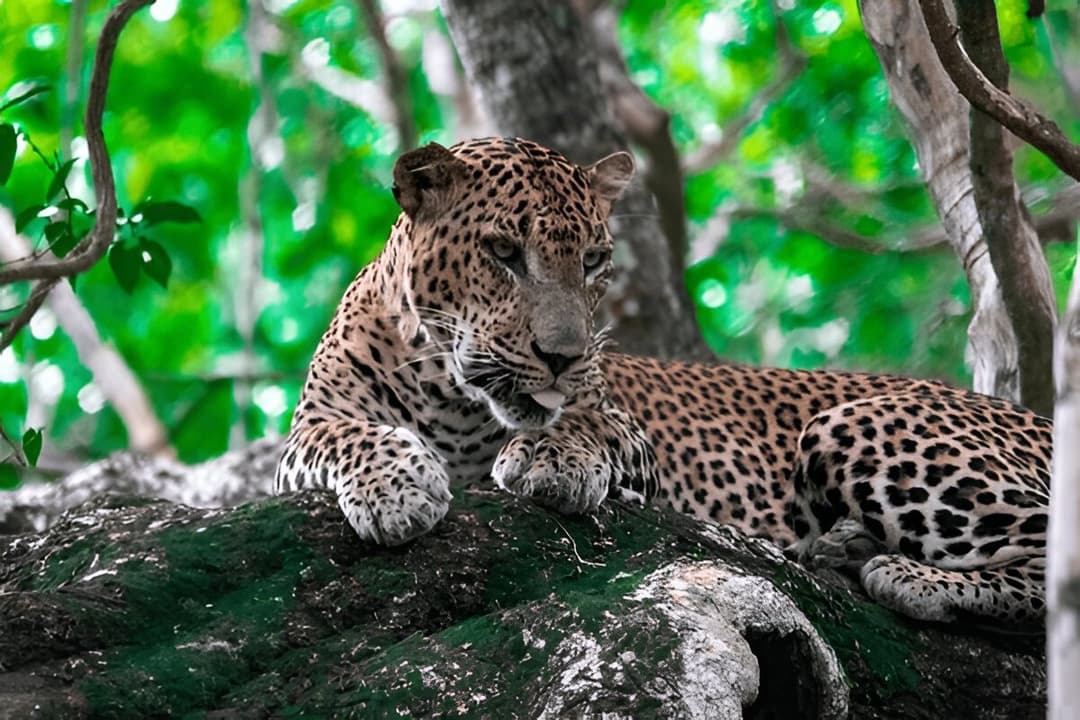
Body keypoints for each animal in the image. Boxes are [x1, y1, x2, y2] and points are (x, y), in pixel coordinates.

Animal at [275, 136, 1051, 625]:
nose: (562, 356)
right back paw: (849, 547)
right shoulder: (303, 437)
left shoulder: (629, 434)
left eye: (593, 261)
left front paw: (551, 457)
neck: (456, 398)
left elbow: (583, 421)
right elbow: (353, 435)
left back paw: (910, 576)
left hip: (857, 423)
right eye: (502, 252)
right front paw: (398, 490)